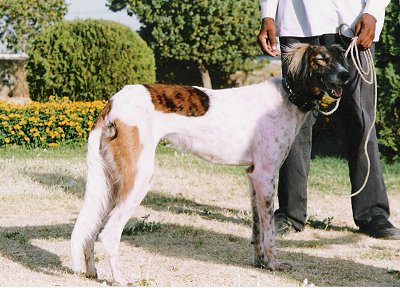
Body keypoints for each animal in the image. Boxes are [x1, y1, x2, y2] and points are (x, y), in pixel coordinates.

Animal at [72, 44, 350, 284]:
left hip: (109, 185)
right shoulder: (266, 175)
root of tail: (113, 102)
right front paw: (273, 264)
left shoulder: (253, 176)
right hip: (138, 179)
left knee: (90, 230)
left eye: (341, 57)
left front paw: (260, 262)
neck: (288, 97)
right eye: (321, 59)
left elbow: (257, 229)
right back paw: (119, 278)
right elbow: (269, 231)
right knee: (108, 233)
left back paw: (92, 271)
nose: (346, 76)